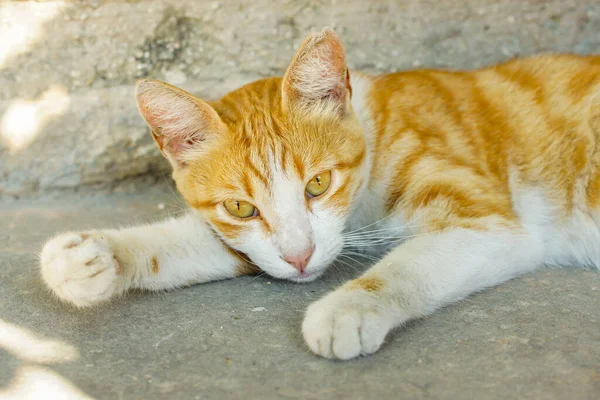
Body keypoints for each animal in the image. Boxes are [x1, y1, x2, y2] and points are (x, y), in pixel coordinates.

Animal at [38, 27, 600, 360]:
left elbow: (407, 265)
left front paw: (348, 309)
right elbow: (191, 245)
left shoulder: (488, 224)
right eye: (241, 206)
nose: (302, 258)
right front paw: (96, 256)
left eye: (318, 184)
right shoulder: (257, 245)